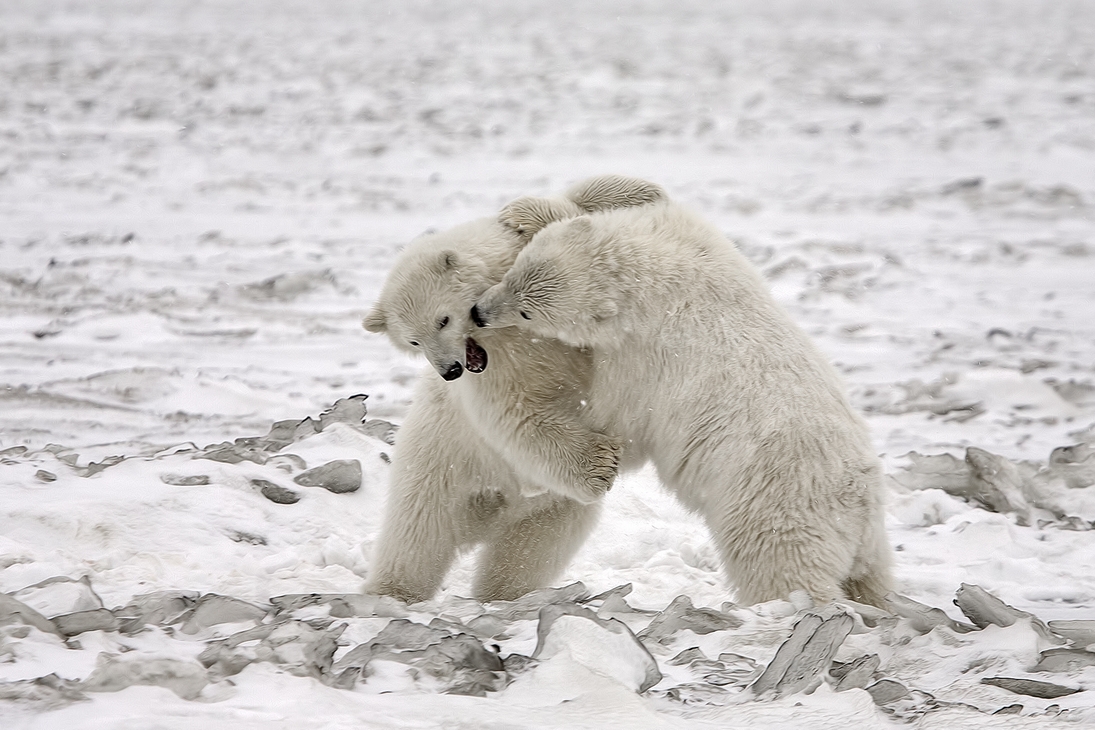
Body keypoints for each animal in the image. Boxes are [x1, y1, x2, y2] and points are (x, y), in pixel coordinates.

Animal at [363, 175, 661, 599]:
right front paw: (600, 464)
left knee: (526, 553)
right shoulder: (495, 371)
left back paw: (505, 593)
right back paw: (392, 591)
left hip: (549, 511)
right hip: (436, 469)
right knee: (415, 537)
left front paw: (526, 212)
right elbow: (514, 413)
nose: (450, 370)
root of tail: (489, 511)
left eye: (442, 320)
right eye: (413, 341)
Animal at [470, 197, 889, 608]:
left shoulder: (644, 357)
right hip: (866, 536)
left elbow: (618, 418)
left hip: (776, 501)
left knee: (777, 563)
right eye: (512, 274)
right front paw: (525, 212)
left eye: (526, 312)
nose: (478, 313)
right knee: (871, 577)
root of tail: (860, 496)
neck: (660, 278)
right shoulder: (703, 243)